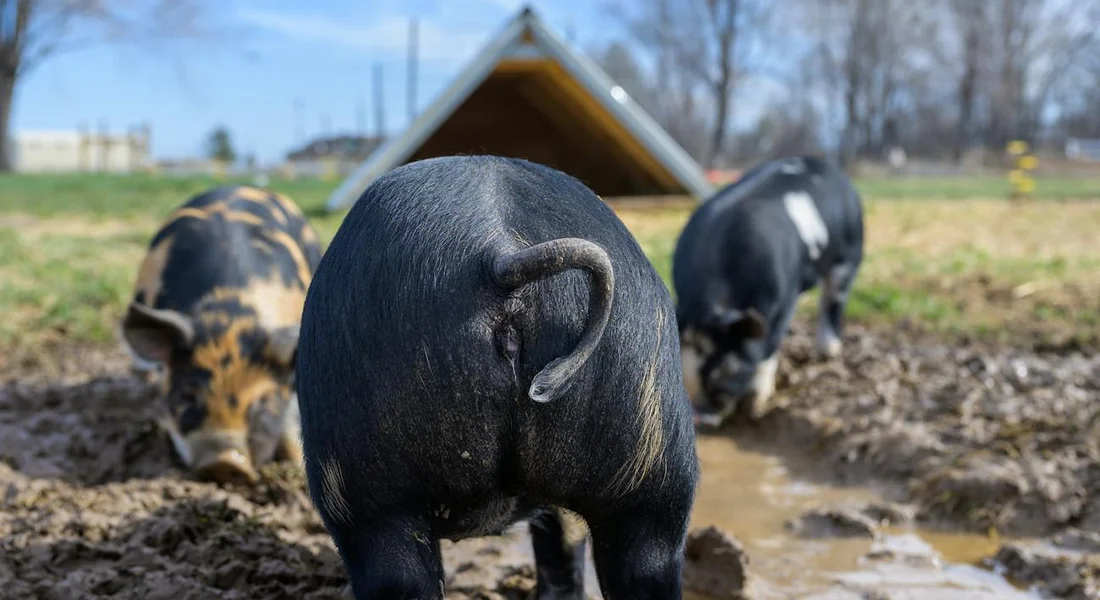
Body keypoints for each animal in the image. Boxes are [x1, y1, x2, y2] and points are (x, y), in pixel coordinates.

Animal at [673, 155, 864, 427]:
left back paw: (828, 352)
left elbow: (768, 349)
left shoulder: (783, 302)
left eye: (722, 377)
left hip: (849, 254)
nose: (702, 420)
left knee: (833, 300)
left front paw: (755, 406)